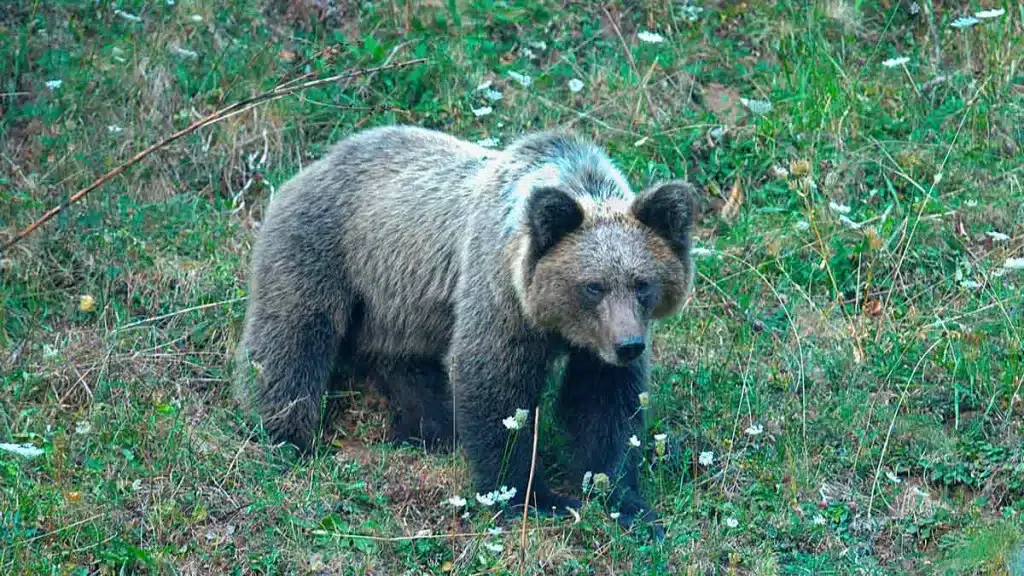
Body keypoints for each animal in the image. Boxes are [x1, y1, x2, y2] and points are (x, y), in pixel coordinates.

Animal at [233, 125, 696, 537]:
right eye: (592, 286)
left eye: (642, 283)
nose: (628, 345)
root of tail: (309, 167)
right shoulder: (499, 292)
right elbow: (494, 384)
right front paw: (532, 497)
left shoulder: (596, 347)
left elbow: (606, 406)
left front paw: (625, 503)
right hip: (324, 251)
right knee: (292, 338)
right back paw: (287, 435)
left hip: (401, 303)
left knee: (406, 366)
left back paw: (428, 430)